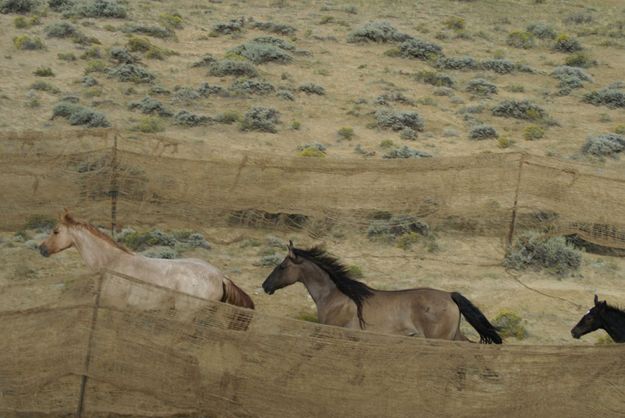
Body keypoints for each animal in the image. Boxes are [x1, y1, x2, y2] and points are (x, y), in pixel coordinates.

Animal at [260, 242, 500, 342]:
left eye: (282, 266)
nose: (265, 286)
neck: (335, 296)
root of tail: (450, 295)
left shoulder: (330, 331)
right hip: (453, 335)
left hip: (440, 338)